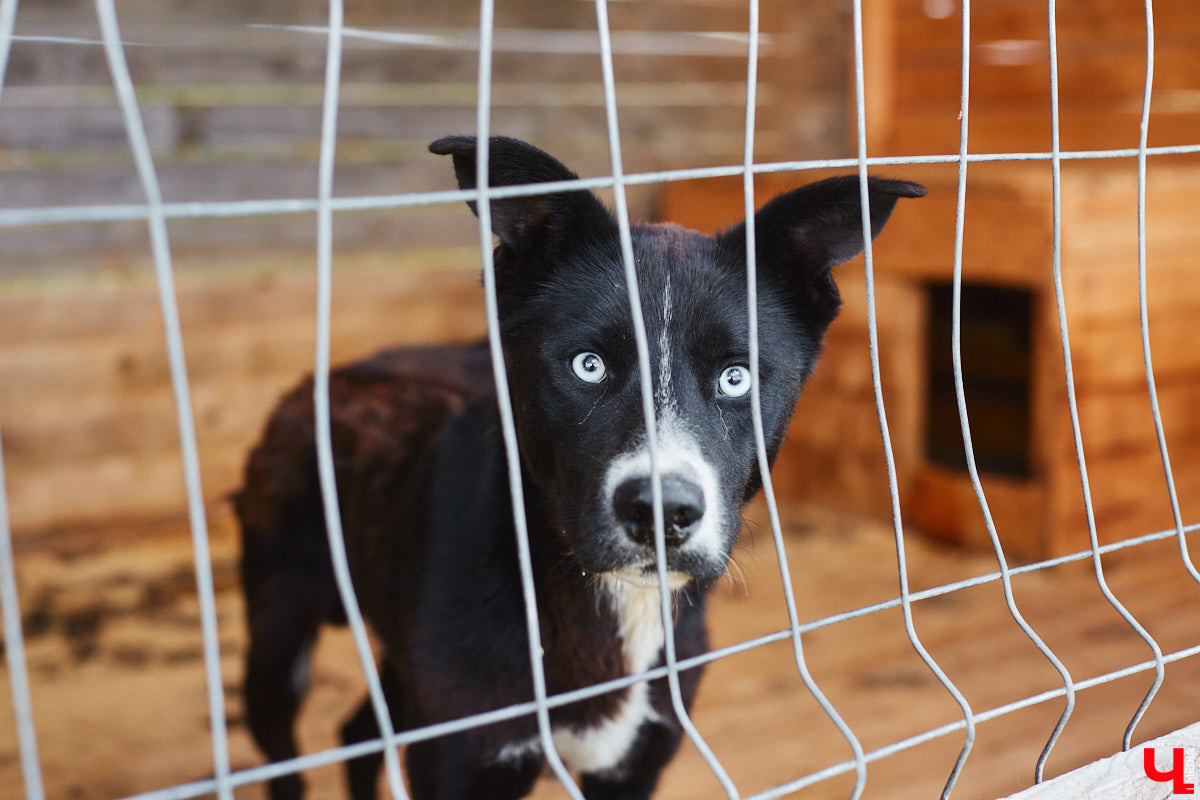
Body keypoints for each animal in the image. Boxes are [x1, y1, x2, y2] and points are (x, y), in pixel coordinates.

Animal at [236, 134, 926, 796]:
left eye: (736, 378)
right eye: (587, 365)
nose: (661, 511)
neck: (602, 607)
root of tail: (326, 377)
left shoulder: (634, 765)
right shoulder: (462, 759)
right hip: (279, 638)